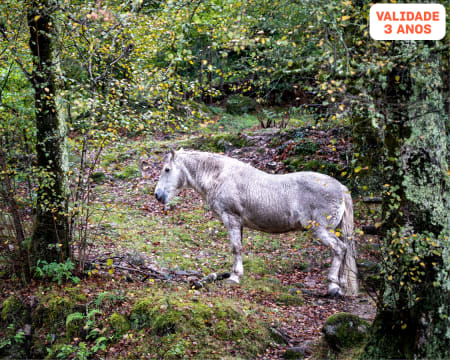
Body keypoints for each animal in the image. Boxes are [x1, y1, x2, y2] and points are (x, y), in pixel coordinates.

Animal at [155, 148, 358, 296]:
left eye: (167, 170)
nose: (157, 195)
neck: (219, 176)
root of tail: (341, 187)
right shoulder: (238, 224)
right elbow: (239, 248)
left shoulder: (231, 219)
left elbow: (235, 248)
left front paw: (234, 277)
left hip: (321, 230)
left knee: (339, 249)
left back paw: (333, 287)